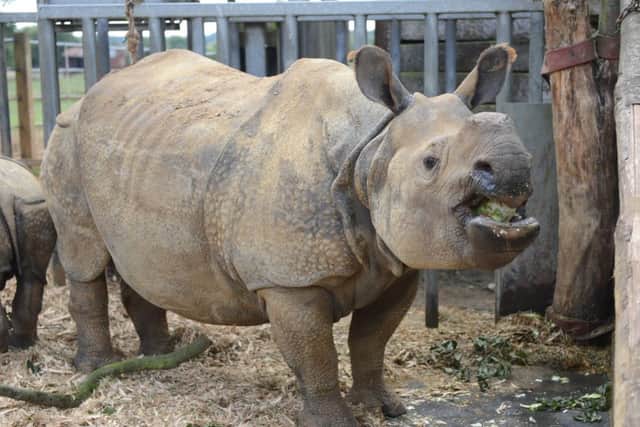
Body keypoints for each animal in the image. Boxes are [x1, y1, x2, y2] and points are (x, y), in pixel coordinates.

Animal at [41, 44, 539, 425]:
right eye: (430, 162)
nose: (515, 166)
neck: (371, 150)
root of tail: (88, 94)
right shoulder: (288, 281)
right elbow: (317, 354)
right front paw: (334, 421)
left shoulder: (398, 262)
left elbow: (371, 341)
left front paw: (383, 408)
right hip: (65, 139)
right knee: (84, 257)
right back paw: (98, 367)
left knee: (137, 262)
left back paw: (159, 356)